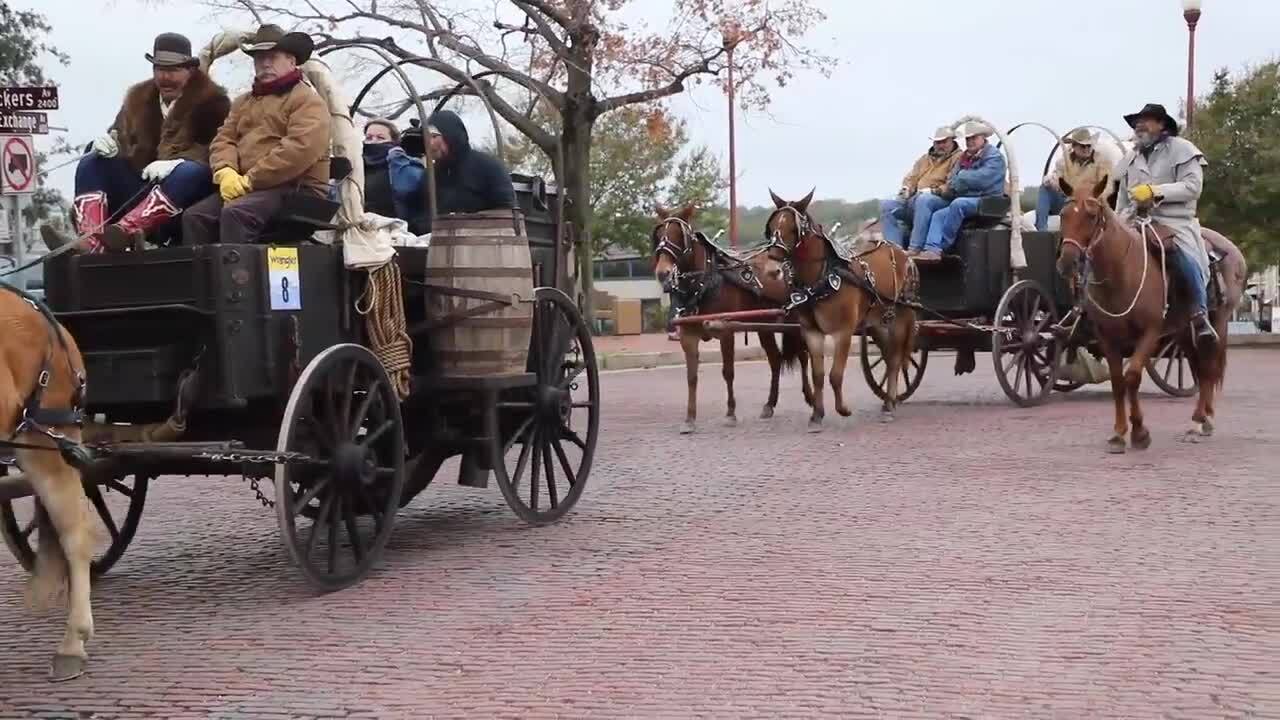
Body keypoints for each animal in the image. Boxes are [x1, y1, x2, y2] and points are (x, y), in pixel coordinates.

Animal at [655, 204, 814, 435]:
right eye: (658, 234)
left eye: (678, 234)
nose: (663, 273)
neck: (705, 283)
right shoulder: (688, 335)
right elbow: (691, 376)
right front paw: (690, 419)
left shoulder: (726, 331)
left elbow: (728, 372)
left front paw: (730, 413)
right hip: (764, 327)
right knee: (775, 359)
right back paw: (769, 405)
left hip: (794, 323)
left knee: (803, 356)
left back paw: (810, 397)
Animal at [757, 188, 921, 427]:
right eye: (772, 227)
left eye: (793, 229)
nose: (772, 268)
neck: (822, 276)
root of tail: (905, 255)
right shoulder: (812, 331)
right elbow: (818, 374)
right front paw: (817, 414)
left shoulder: (843, 331)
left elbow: (835, 374)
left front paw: (843, 409)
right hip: (877, 322)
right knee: (891, 357)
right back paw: (887, 403)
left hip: (900, 318)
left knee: (897, 358)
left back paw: (890, 403)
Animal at [1054, 176, 1244, 450]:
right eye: (1063, 215)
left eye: (1091, 215)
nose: (1067, 262)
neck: (1122, 273)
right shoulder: (1108, 338)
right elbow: (1118, 381)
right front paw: (1120, 432)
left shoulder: (1149, 333)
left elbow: (1132, 376)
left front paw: (1140, 432)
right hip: (1183, 331)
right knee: (1198, 367)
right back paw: (1204, 419)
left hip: (1216, 323)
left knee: (1208, 366)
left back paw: (1198, 422)